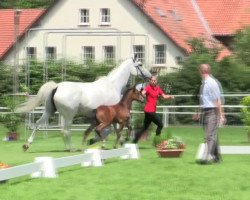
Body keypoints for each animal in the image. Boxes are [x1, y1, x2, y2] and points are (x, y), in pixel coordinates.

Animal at [17, 55, 151, 151]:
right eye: (140, 64)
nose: (150, 76)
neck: (113, 85)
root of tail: (57, 87)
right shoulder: (111, 116)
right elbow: (110, 130)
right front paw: (96, 141)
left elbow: (113, 129)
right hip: (68, 115)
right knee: (65, 131)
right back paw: (71, 148)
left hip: (49, 111)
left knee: (38, 124)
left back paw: (27, 144)